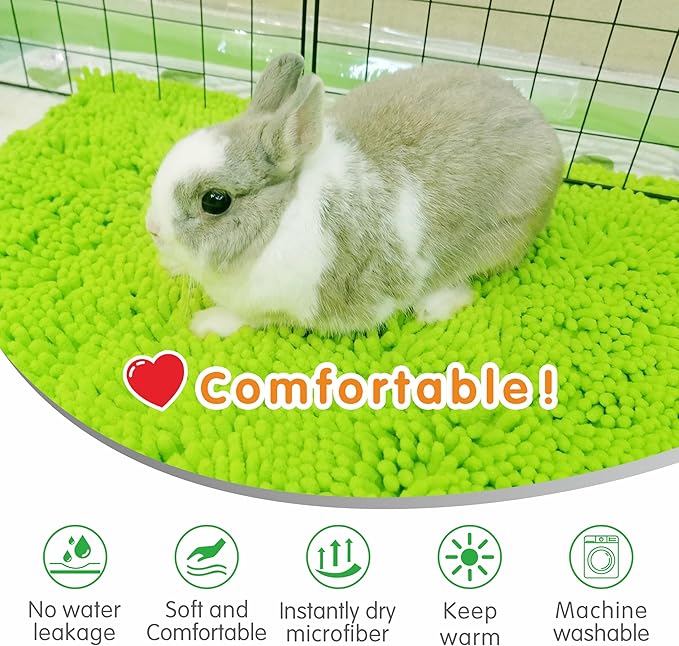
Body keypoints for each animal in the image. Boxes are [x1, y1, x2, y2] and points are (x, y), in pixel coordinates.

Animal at [146, 53, 563, 338]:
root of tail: (545, 130)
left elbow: (245, 317)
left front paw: (205, 323)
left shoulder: (283, 304)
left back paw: (431, 309)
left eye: (215, 201)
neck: (279, 220)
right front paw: (172, 265)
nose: (152, 228)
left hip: (491, 242)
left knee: (463, 285)